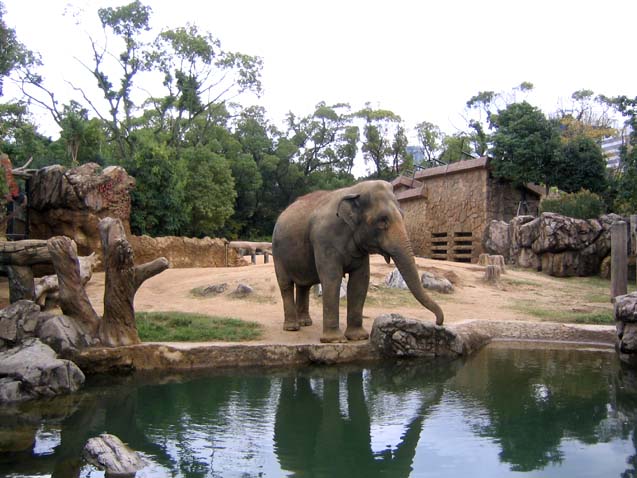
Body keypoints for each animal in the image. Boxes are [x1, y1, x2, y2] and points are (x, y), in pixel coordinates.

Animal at [270, 180, 444, 344]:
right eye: (382, 221)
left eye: (403, 215)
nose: (438, 322)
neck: (353, 190)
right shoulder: (324, 240)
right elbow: (332, 278)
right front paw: (335, 340)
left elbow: (360, 281)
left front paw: (358, 337)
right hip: (277, 253)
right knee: (285, 284)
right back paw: (292, 327)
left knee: (303, 286)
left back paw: (305, 323)